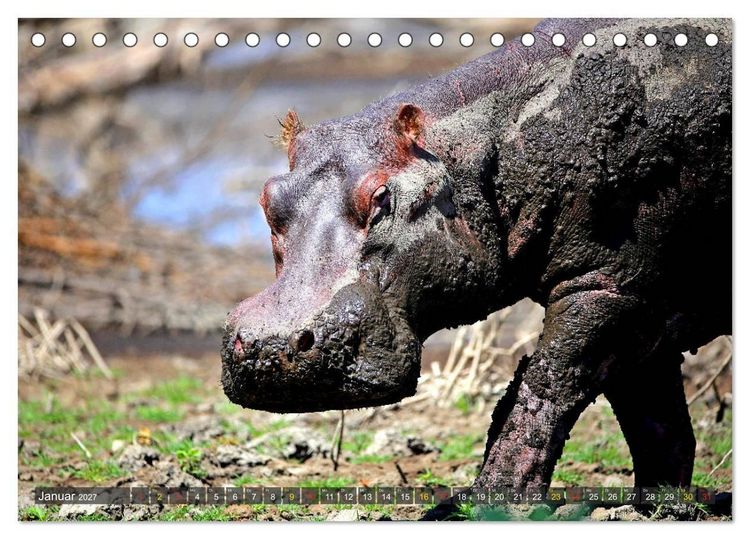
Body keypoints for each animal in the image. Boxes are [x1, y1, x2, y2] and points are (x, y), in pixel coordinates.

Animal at [221, 18, 731, 491]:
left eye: (382, 196)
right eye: (268, 197)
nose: (270, 343)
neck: (486, 149)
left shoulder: (608, 286)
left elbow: (544, 386)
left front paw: (490, 498)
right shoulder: (642, 304)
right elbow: (658, 424)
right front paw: (661, 502)